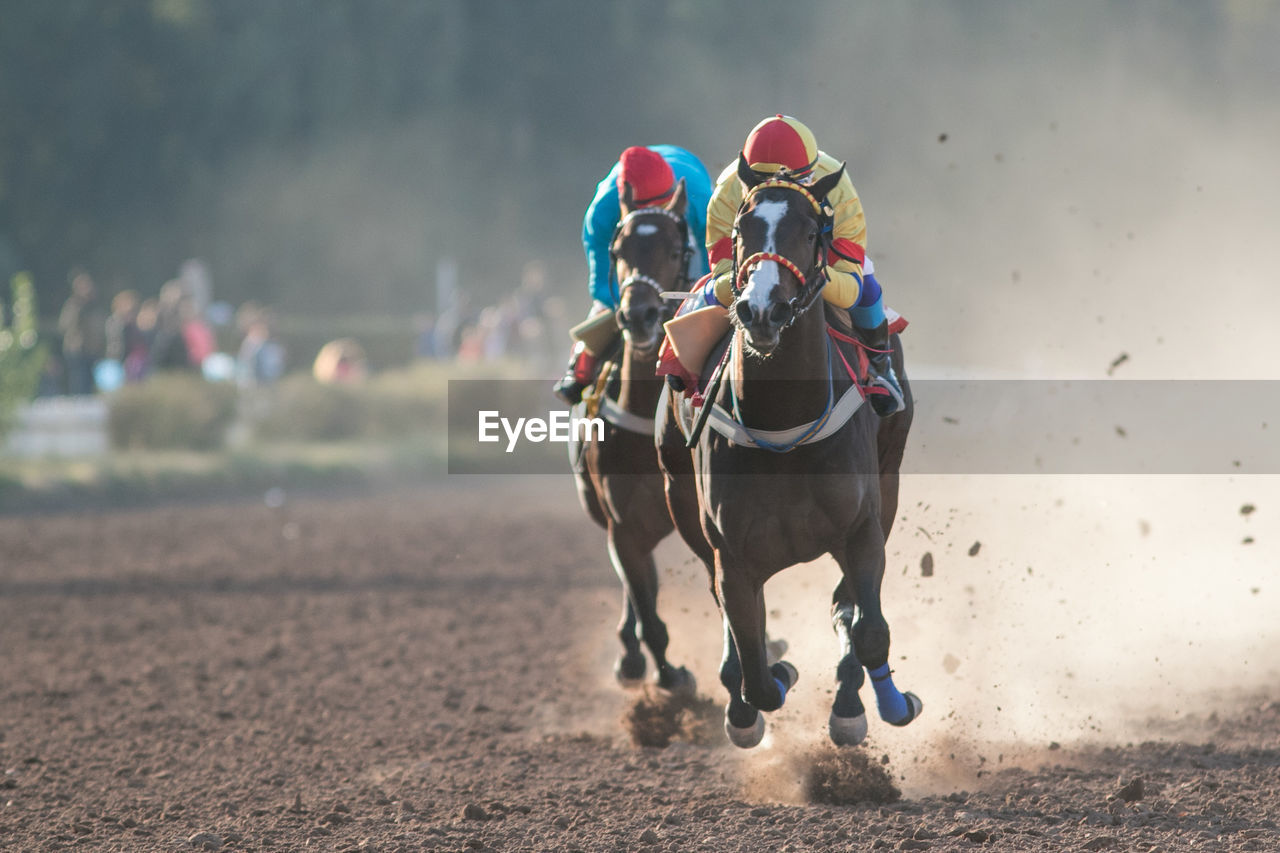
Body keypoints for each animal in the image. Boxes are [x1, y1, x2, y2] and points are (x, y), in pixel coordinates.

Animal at [660, 156, 921, 747]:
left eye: (809, 232)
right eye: (741, 229)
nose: (761, 310)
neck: (782, 424)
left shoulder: (863, 526)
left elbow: (869, 628)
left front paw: (877, 705)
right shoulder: (731, 555)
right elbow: (755, 669)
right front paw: (767, 684)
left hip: (889, 481)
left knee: (848, 609)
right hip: (681, 499)